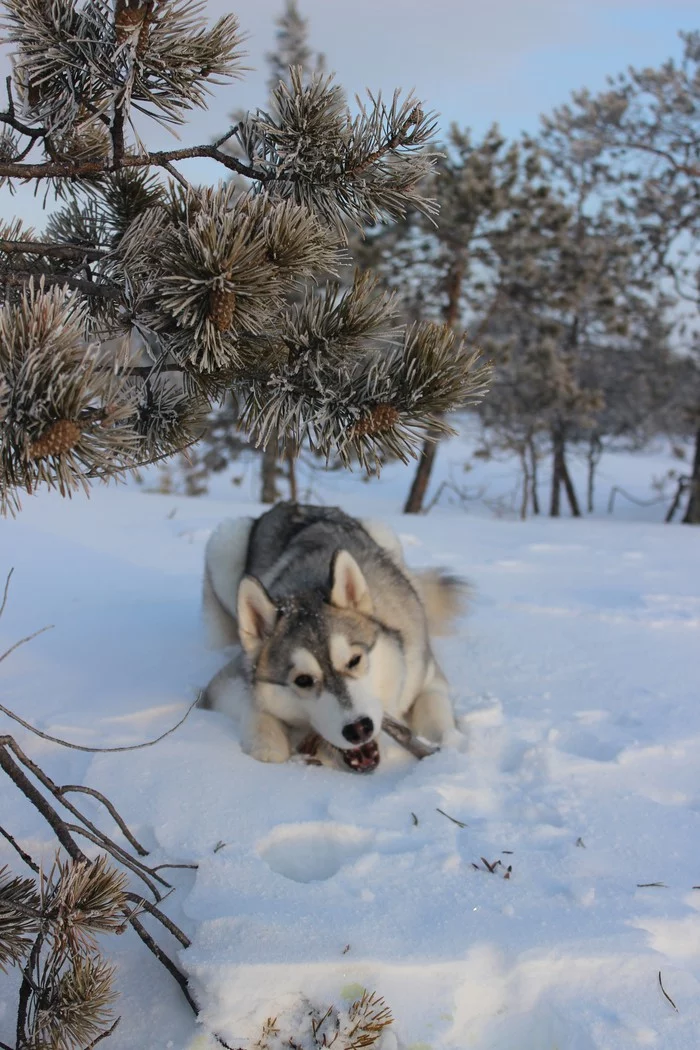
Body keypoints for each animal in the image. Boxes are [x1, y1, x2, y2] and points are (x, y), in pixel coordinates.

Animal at [202, 499, 465, 772]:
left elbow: (435, 719)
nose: (358, 729)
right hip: (224, 543)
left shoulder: (426, 676)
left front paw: (446, 754)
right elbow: (256, 712)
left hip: (386, 537)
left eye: (354, 661)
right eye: (303, 680)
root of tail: (295, 503)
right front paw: (268, 749)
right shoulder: (225, 682)